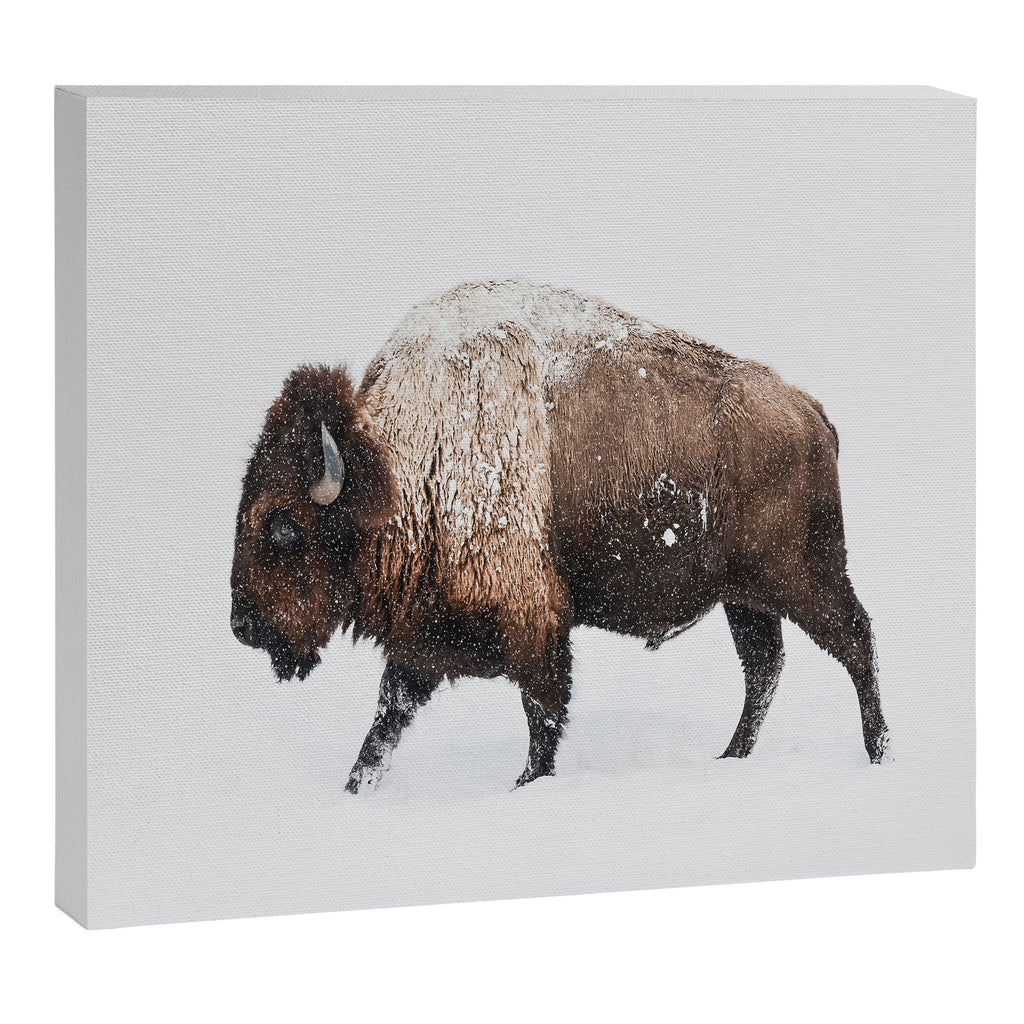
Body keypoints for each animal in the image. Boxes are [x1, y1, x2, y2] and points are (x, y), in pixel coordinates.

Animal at [231, 281, 889, 791]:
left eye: (283, 524)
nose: (243, 625)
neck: (402, 466)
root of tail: (810, 413)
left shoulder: (533, 624)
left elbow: (542, 717)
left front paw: (527, 786)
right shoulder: (423, 636)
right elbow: (384, 727)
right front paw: (355, 789)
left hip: (803, 579)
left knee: (854, 640)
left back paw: (877, 753)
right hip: (745, 598)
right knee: (764, 668)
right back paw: (732, 757)